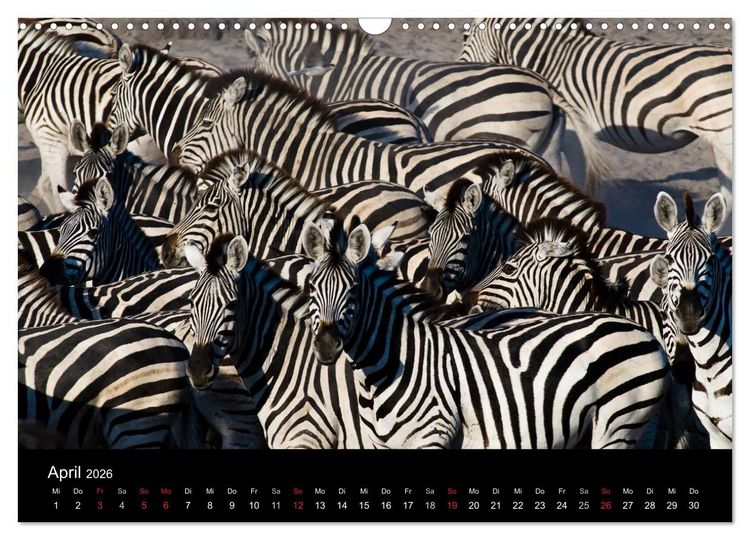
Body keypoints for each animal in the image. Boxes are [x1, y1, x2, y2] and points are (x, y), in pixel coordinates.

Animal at [298, 218, 668, 448]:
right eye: (310, 287)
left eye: (353, 291)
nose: (326, 346)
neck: (395, 360)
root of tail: (642, 331)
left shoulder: (436, 435)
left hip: (619, 423)